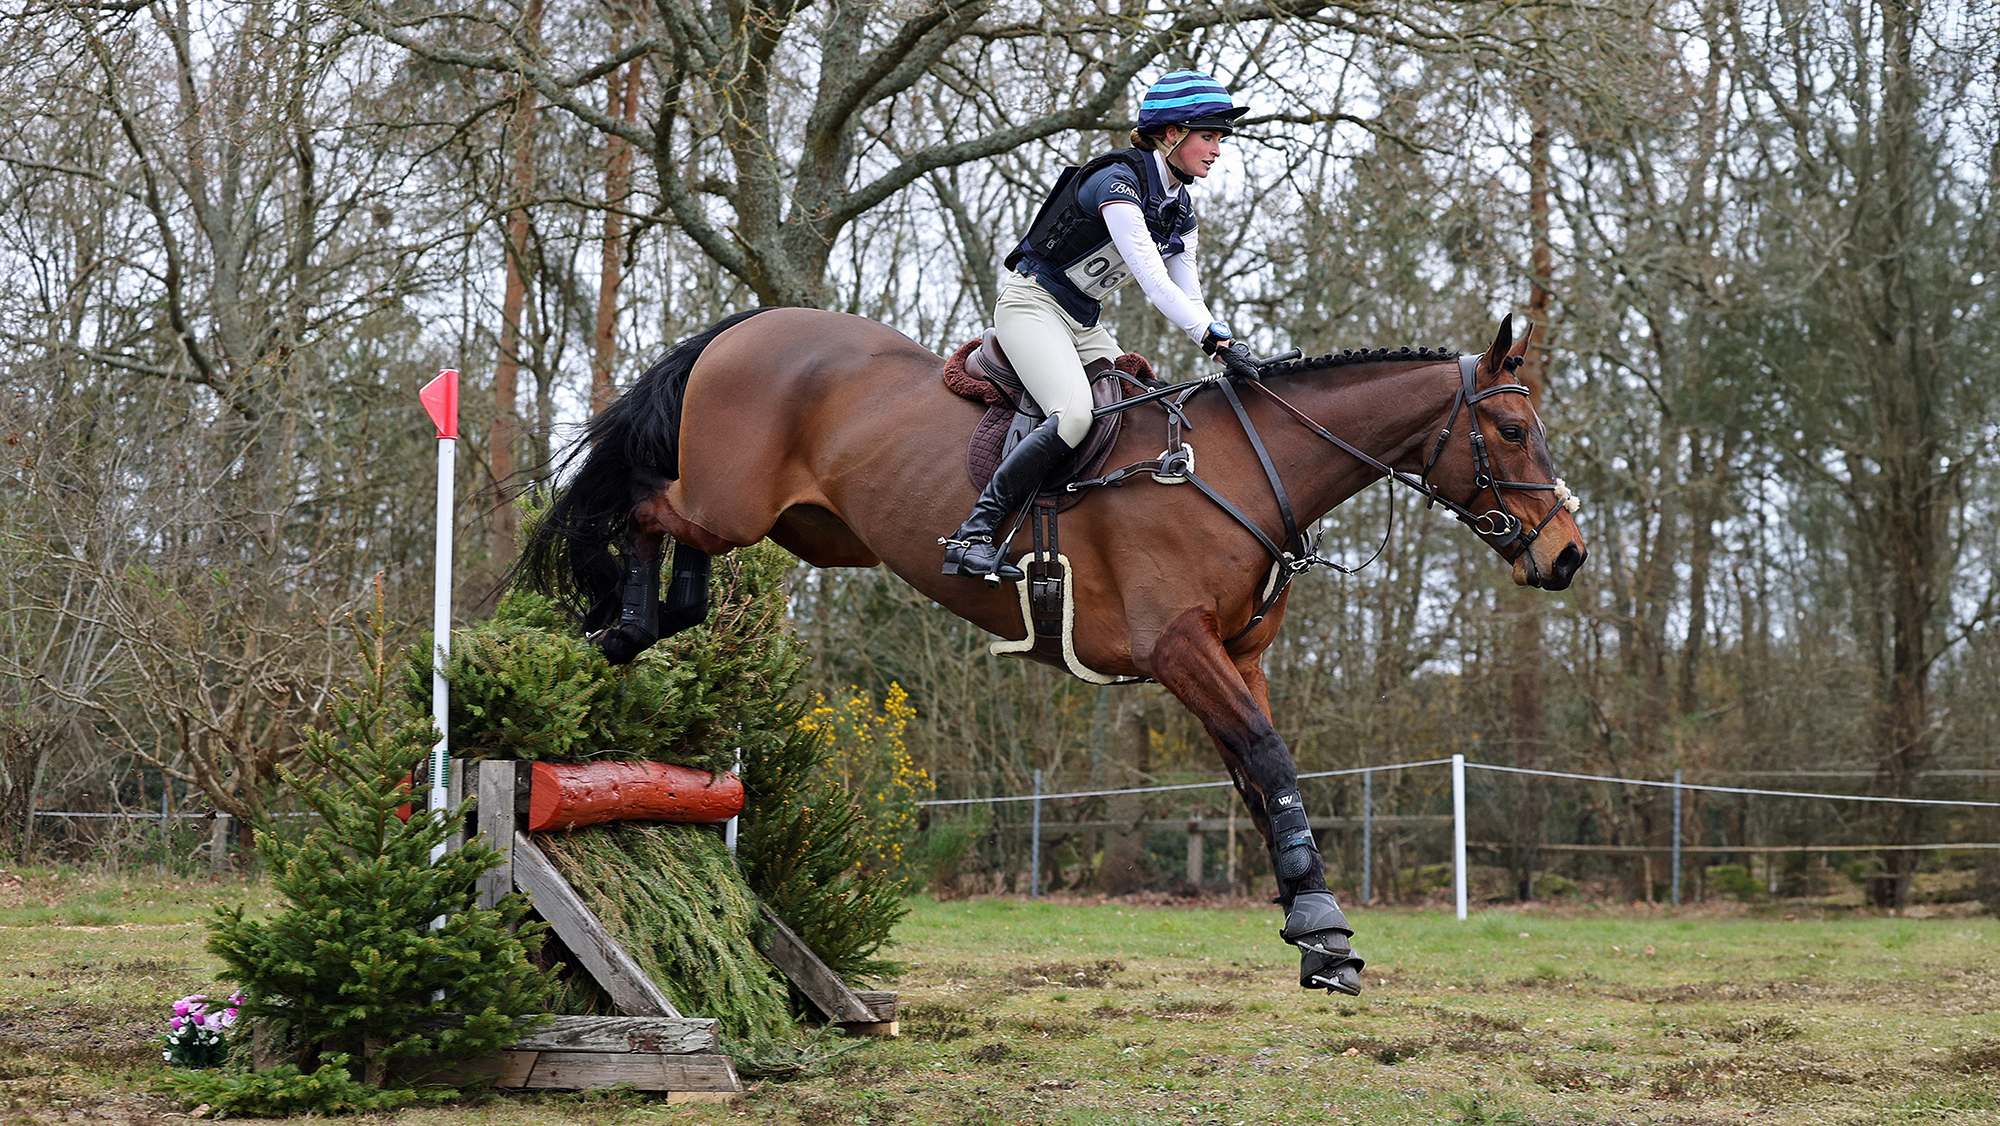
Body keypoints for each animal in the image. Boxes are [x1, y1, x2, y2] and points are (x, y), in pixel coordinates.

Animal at [518, 306, 1587, 996]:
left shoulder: (1237, 659)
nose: (1568, 556)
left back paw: (655, 619)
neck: (1246, 468)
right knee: (642, 505)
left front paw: (1308, 932)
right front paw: (1326, 936)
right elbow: (1272, 760)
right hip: (732, 502)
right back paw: (622, 624)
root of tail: (747, 328)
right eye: (1512, 427)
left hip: (802, 528)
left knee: (676, 534)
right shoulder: (1179, 649)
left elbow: (1259, 777)